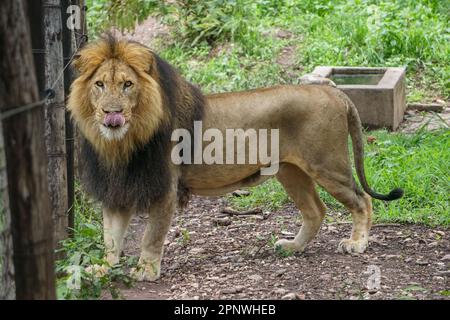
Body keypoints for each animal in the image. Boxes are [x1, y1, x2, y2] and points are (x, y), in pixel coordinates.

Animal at [67, 35, 404, 280]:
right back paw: (292, 247)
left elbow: (152, 235)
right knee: (316, 211)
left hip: (327, 164)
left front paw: (145, 271)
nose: (111, 113)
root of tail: (332, 91)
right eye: (99, 85)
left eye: (128, 85)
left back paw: (357, 244)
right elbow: (110, 237)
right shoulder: (116, 191)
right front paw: (104, 268)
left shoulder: (165, 188)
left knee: (362, 200)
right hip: (290, 171)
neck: (120, 144)